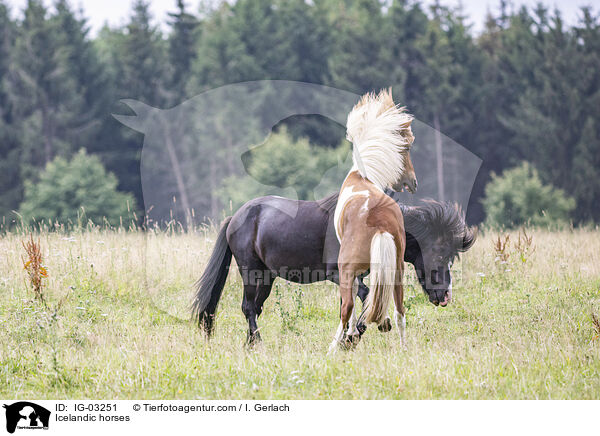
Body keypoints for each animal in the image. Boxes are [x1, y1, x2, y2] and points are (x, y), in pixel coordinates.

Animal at [191, 192, 474, 346]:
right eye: (440, 253)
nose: (445, 296)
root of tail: (235, 218)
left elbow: (349, 306)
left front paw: (350, 338)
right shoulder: (339, 275)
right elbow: (364, 296)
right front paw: (368, 329)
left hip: (267, 277)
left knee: (255, 309)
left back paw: (250, 345)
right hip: (251, 272)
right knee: (249, 308)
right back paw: (258, 345)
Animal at [328, 89, 418, 350]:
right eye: (406, 147)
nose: (413, 182)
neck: (363, 176)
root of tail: (380, 223)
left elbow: (356, 297)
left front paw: (351, 334)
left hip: (347, 270)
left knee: (346, 306)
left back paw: (334, 346)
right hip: (397, 270)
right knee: (399, 310)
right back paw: (403, 347)